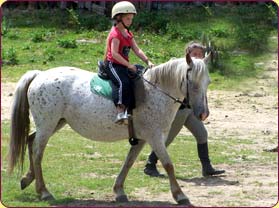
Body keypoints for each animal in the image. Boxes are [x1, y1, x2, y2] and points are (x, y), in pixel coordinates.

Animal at [7, 52, 211, 206]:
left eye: (207, 82)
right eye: (192, 83)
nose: (203, 114)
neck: (156, 92)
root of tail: (40, 74)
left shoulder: (142, 138)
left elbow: (128, 162)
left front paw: (119, 191)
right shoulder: (154, 137)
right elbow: (168, 165)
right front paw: (180, 195)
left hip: (55, 123)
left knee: (31, 141)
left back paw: (27, 179)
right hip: (47, 124)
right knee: (37, 151)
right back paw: (44, 191)